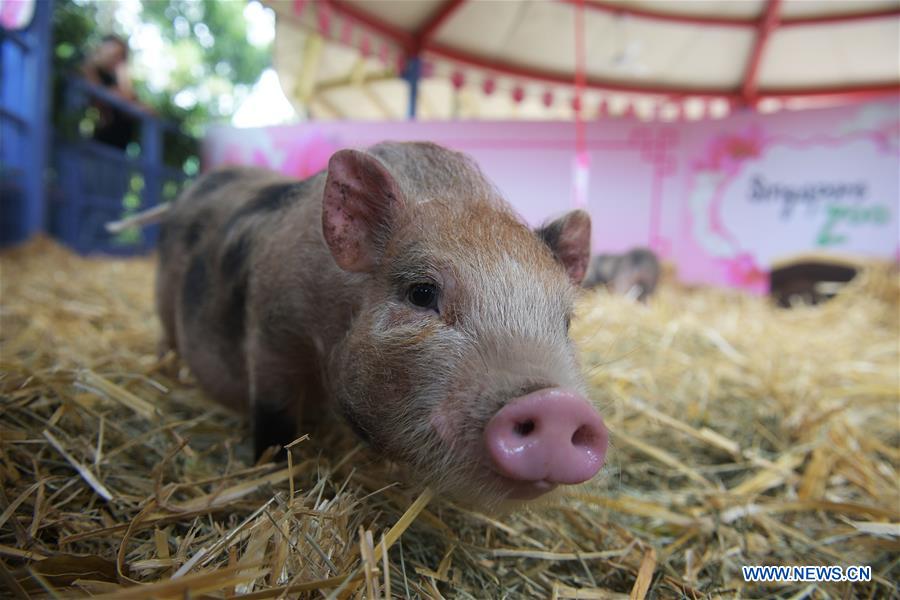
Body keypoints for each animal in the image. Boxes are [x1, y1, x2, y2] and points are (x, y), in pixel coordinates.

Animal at [155, 142, 608, 507]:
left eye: (565, 322)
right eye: (421, 293)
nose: (557, 404)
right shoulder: (272, 328)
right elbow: (274, 412)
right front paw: (276, 472)